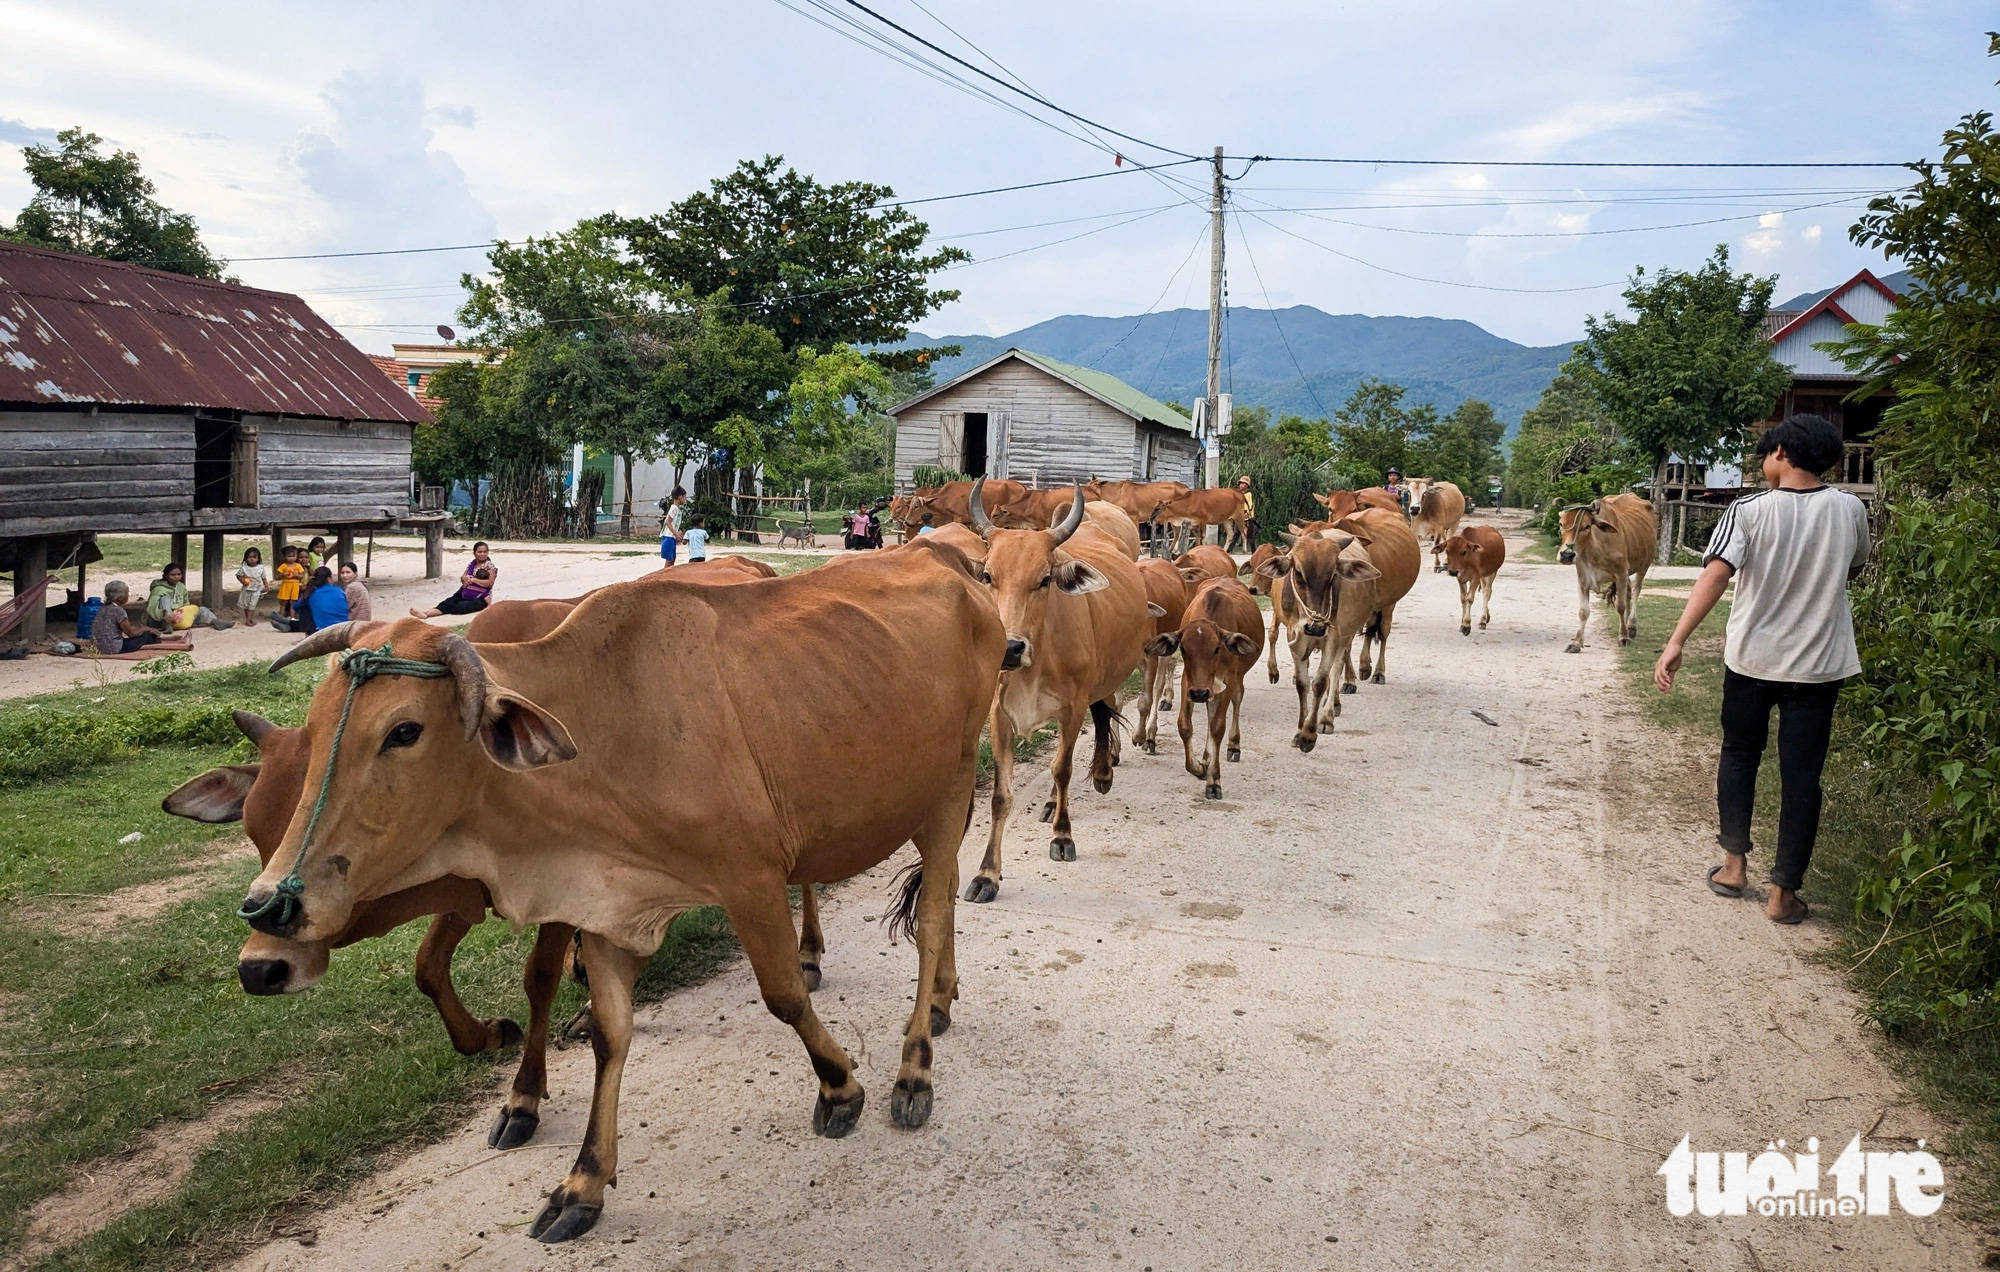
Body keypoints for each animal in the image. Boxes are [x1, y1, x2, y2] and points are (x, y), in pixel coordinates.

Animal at [236, 548, 1008, 1240]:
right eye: (315, 726)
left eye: (404, 730)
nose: (269, 919)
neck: (609, 724)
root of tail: (955, 566)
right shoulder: (605, 904)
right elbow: (610, 1033)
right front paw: (583, 1183)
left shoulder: (750, 877)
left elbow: (786, 994)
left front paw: (840, 1086)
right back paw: (943, 1002)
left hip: (949, 787)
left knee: (932, 920)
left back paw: (914, 1069)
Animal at [964, 482, 1152, 900]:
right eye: (988, 576)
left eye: (1044, 579)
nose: (1009, 648)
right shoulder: (998, 716)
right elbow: (1001, 796)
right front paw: (987, 873)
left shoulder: (1073, 707)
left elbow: (1062, 768)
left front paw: (1063, 836)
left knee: (1108, 709)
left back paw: (1102, 771)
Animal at [1152, 580, 1256, 800]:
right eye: (1183, 649)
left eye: (1216, 649)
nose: (1200, 694)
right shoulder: (1188, 682)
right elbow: (1185, 726)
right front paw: (1199, 767)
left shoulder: (1228, 681)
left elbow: (1217, 728)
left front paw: (1213, 781)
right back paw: (1206, 759)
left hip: (1234, 682)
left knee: (1236, 702)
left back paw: (1233, 746)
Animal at [1544, 494, 1656, 656]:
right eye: (1561, 523)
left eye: (1586, 526)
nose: (1567, 555)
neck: (1594, 550)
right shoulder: (1582, 579)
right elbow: (1583, 612)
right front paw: (1576, 643)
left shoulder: (1621, 573)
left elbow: (1620, 607)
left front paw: (1623, 638)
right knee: (1629, 591)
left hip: (1645, 564)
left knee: (1636, 591)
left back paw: (1631, 626)